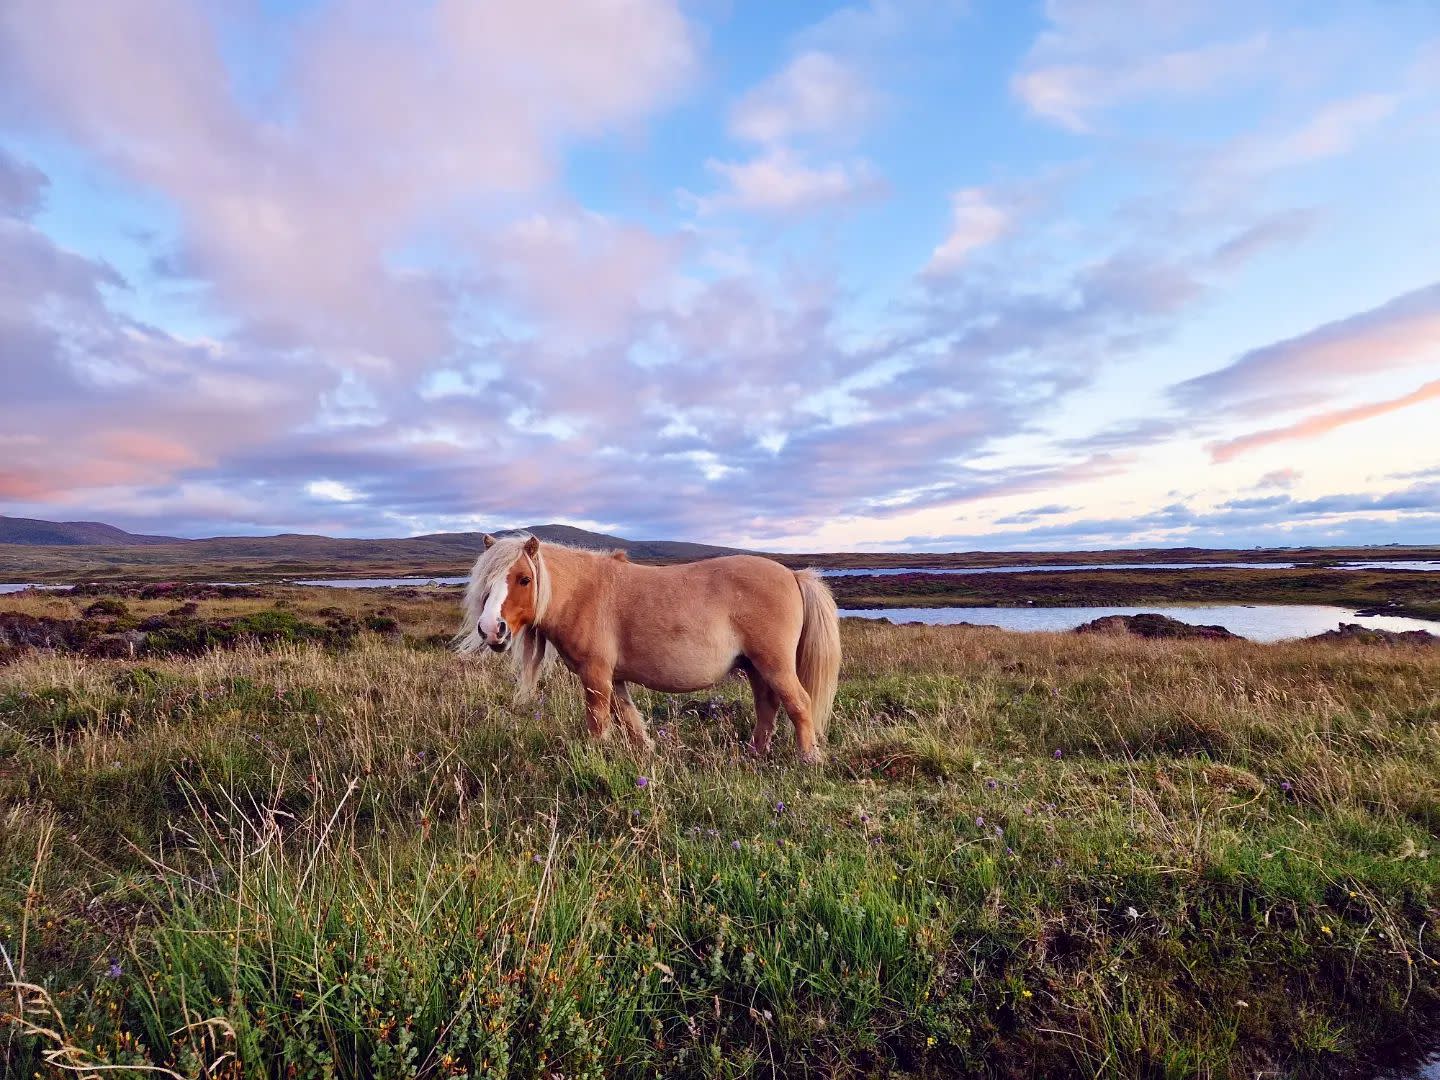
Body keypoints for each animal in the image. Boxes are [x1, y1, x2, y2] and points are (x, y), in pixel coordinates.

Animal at [455, 538, 840, 766]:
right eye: (486, 580)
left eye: (524, 579)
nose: (491, 629)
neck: (582, 593)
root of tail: (793, 575)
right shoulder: (614, 679)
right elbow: (628, 719)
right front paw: (646, 752)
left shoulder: (595, 676)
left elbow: (599, 722)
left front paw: (597, 759)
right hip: (755, 668)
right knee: (766, 708)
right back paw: (753, 755)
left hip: (774, 666)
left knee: (799, 704)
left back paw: (809, 759)